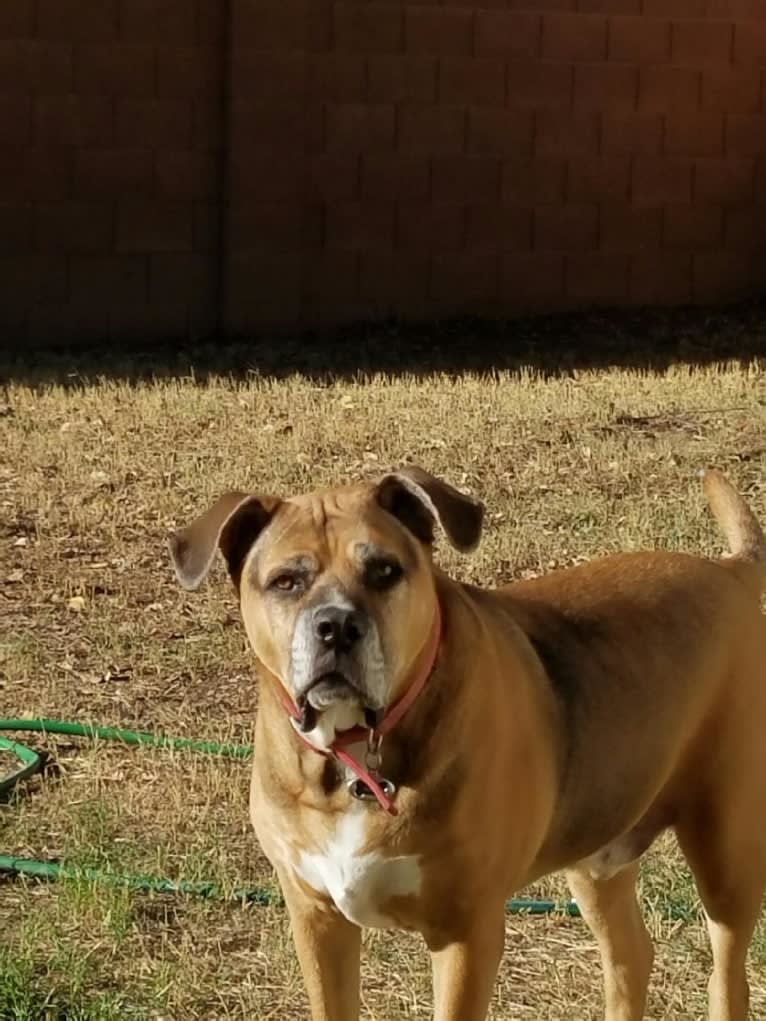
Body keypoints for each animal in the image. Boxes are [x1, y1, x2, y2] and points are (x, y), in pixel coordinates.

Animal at [170, 469, 766, 1021]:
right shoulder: (316, 919)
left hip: (726, 852)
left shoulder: (464, 932)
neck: (356, 756)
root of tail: (729, 572)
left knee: (727, 974)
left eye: (384, 570)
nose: (337, 625)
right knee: (630, 956)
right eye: (286, 581)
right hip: (598, 851)